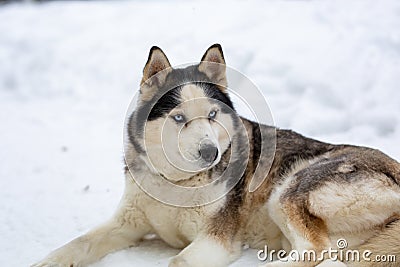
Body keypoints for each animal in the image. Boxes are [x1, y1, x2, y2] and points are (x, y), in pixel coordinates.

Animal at [33, 45, 400, 266]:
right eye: (179, 118)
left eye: (211, 115)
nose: (210, 152)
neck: (177, 182)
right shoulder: (125, 224)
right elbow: (76, 244)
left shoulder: (216, 240)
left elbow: (178, 260)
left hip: (289, 190)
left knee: (315, 251)